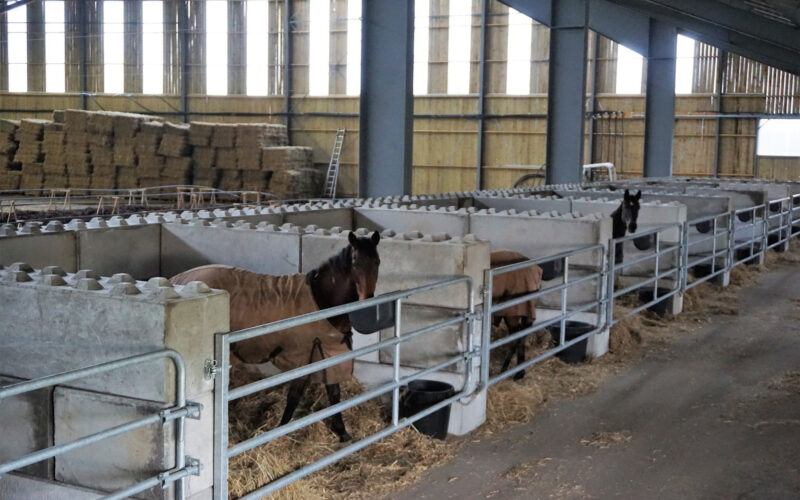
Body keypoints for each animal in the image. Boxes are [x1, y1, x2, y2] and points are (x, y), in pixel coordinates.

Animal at [170, 230, 382, 442]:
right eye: (355, 262)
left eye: (377, 262)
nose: (368, 304)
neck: (321, 301)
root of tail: (178, 279)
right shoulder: (303, 357)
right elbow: (295, 396)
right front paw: (281, 430)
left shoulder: (328, 354)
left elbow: (334, 394)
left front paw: (342, 432)